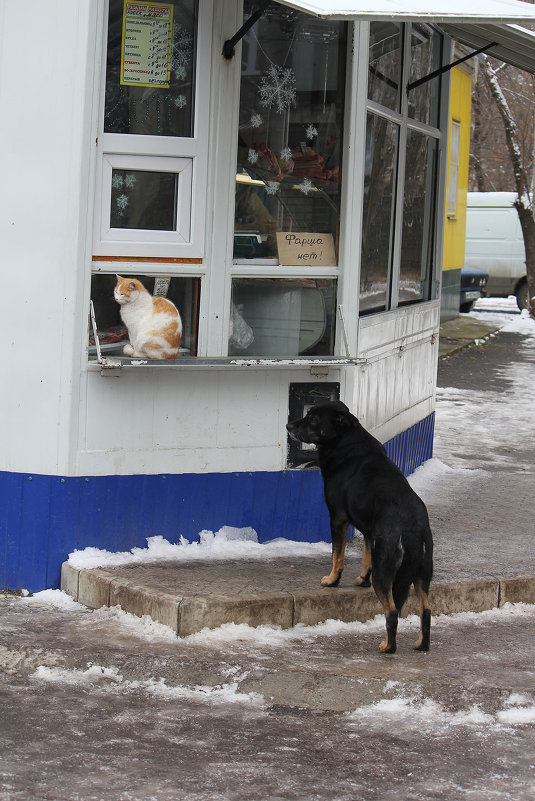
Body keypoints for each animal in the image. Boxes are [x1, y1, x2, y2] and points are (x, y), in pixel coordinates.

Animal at [286, 404, 434, 652]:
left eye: (313, 418)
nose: (288, 426)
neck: (345, 442)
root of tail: (413, 527)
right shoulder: (369, 530)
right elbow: (366, 556)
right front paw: (362, 579)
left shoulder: (338, 518)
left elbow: (337, 555)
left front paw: (332, 581)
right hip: (422, 574)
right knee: (427, 610)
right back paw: (421, 644)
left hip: (386, 569)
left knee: (392, 611)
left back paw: (387, 646)